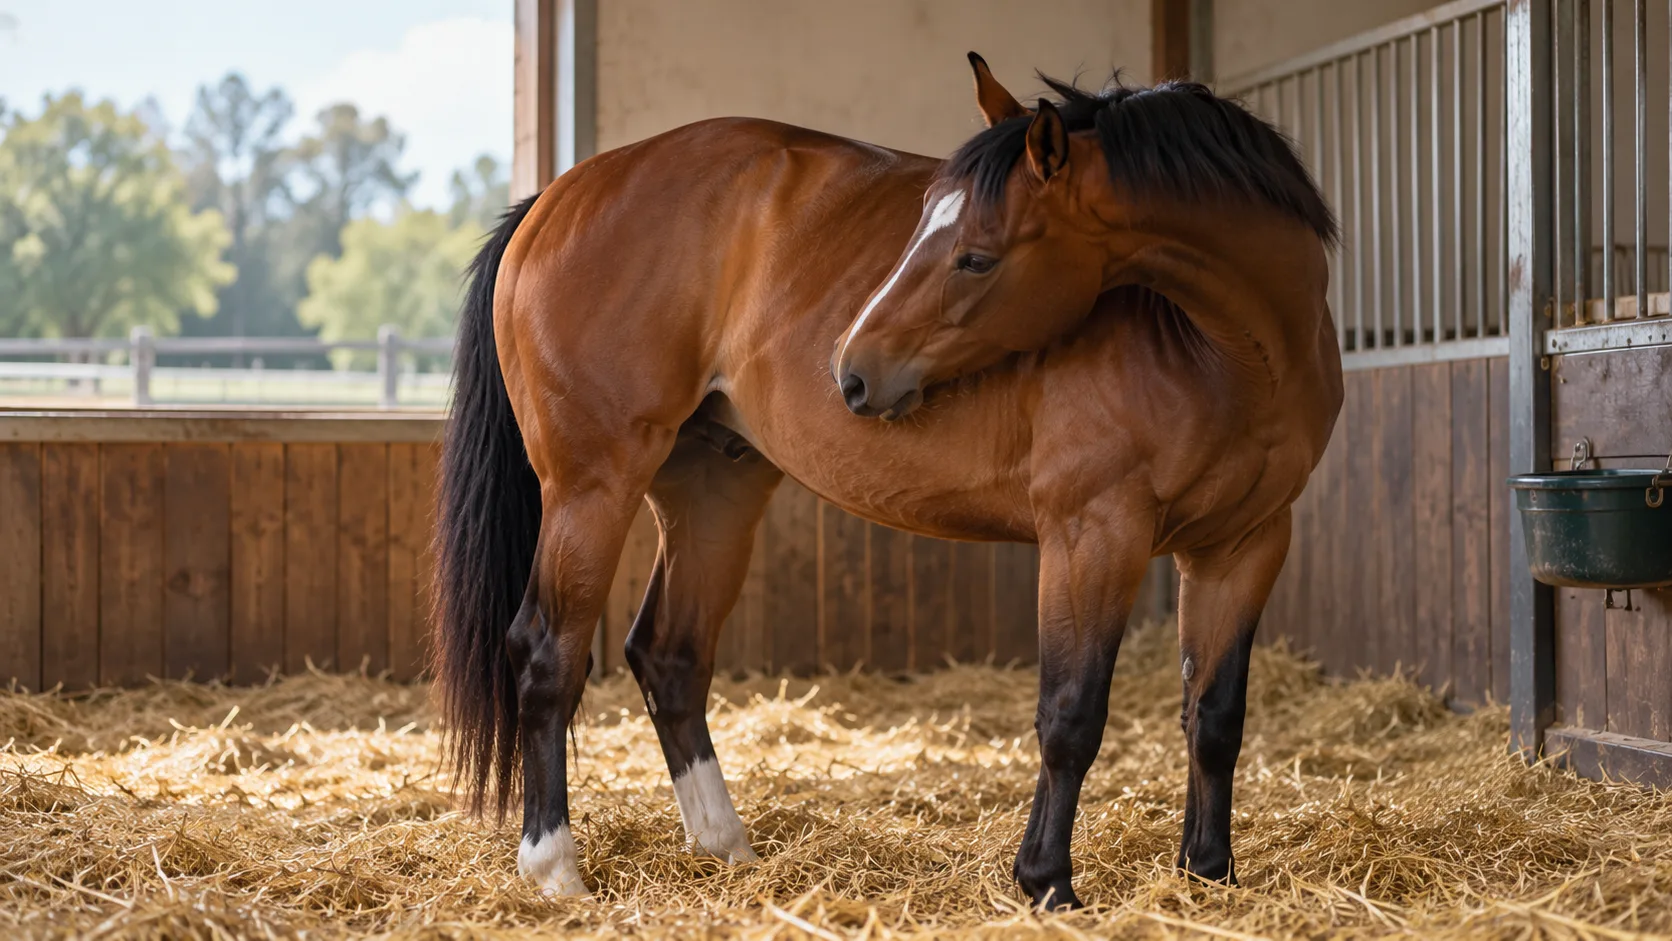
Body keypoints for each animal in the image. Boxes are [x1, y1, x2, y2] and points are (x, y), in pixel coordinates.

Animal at [433, 54, 1342, 910]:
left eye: (975, 256)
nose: (853, 371)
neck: (1226, 350)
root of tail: (561, 195)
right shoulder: (1092, 536)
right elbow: (1071, 715)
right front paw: (1046, 880)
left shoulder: (1245, 546)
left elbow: (1215, 717)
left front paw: (1210, 874)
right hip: (593, 486)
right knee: (547, 651)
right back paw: (554, 866)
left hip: (714, 490)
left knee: (669, 654)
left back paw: (726, 847)